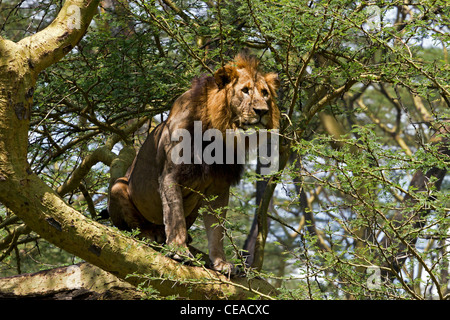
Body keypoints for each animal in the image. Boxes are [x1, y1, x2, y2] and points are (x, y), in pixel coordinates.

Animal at [107, 54, 280, 272]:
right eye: (245, 90)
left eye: (265, 93)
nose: (262, 111)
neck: (219, 133)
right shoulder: (170, 175)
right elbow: (175, 216)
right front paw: (179, 251)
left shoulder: (219, 186)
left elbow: (217, 229)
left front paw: (221, 263)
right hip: (118, 187)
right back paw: (150, 234)